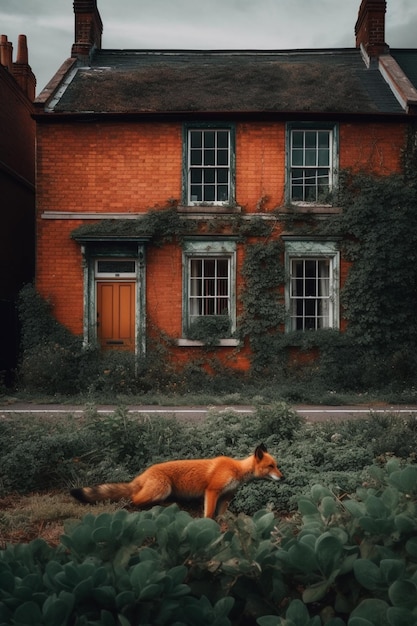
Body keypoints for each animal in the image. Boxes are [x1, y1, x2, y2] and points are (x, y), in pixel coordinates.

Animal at [70, 444, 282, 516]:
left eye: (277, 465)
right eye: (271, 466)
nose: (283, 477)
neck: (236, 469)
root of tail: (142, 475)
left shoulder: (226, 496)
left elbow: (221, 516)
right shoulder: (212, 491)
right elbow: (209, 514)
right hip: (161, 489)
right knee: (133, 500)